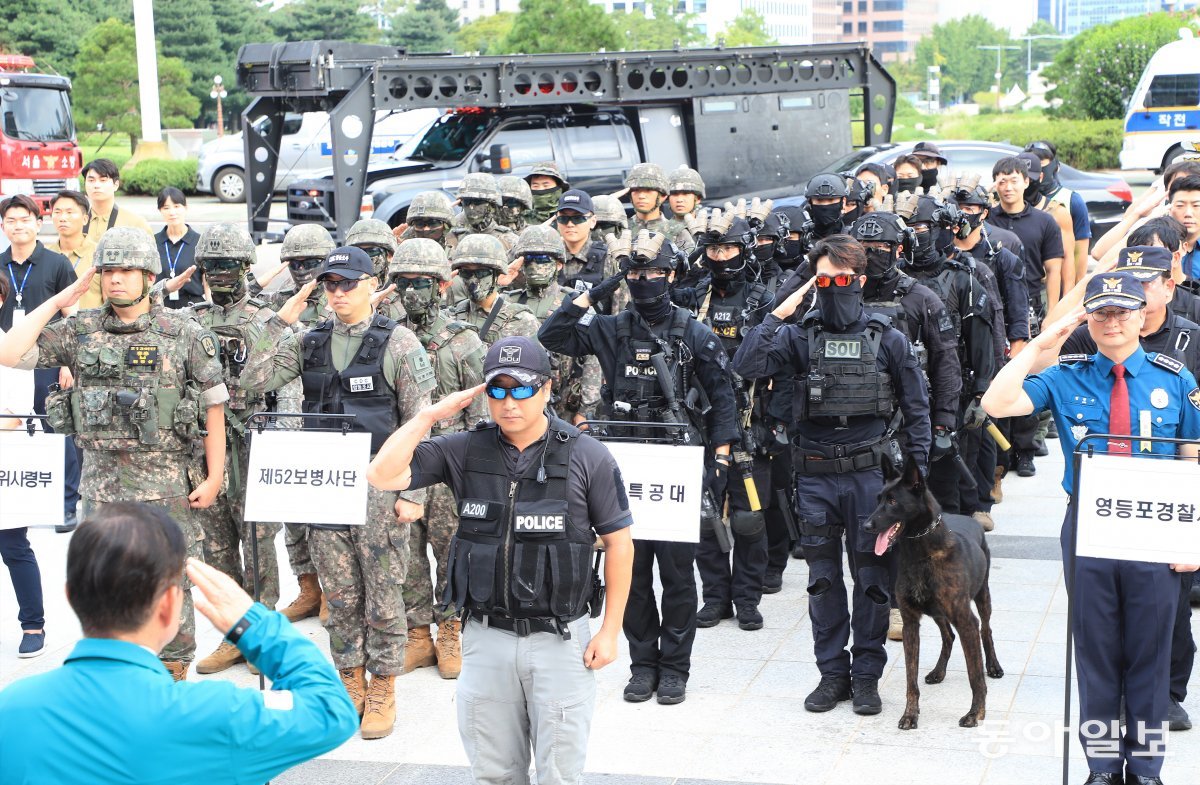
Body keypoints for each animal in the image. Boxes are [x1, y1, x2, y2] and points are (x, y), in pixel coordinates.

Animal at [864, 456, 1003, 729]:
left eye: (893, 501)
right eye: (878, 499)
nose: (866, 525)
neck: (921, 552)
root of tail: (968, 517)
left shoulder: (966, 621)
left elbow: (974, 676)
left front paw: (976, 713)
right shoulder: (910, 624)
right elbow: (911, 679)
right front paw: (910, 714)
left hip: (982, 595)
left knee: (986, 629)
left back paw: (993, 665)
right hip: (939, 613)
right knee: (948, 636)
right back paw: (939, 671)